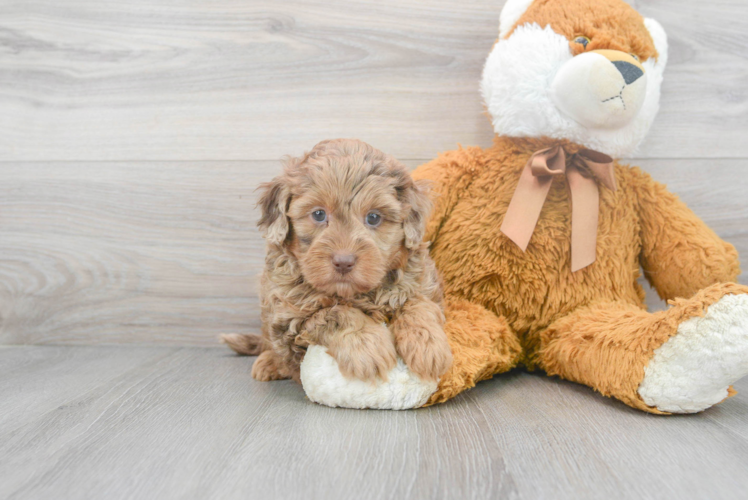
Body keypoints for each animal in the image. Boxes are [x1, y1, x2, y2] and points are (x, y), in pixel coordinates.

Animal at [219, 139, 452, 384]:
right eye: (319, 214)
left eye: (374, 217)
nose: (343, 262)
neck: (351, 294)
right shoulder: (288, 322)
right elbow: (334, 313)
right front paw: (366, 345)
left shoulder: (422, 283)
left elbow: (417, 302)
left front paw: (428, 344)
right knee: (268, 343)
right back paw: (268, 362)